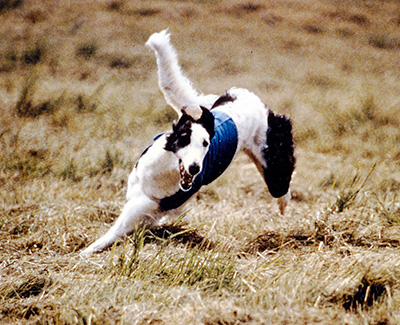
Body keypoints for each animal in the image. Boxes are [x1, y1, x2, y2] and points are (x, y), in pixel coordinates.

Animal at [80, 29, 294, 253]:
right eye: (184, 139)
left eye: (206, 143)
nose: (194, 168)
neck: (163, 172)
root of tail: (245, 97)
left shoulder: (147, 208)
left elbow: (113, 233)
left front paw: (83, 253)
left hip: (273, 163)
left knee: (282, 184)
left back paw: (283, 204)